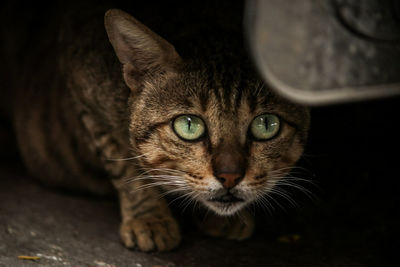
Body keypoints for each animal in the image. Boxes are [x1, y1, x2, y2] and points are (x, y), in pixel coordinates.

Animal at [7, 6, 310, 252]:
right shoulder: (82, 88)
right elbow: (125, 166)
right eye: (189, 126)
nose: (230, 177)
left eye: (266, 125)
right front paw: (149, 218)